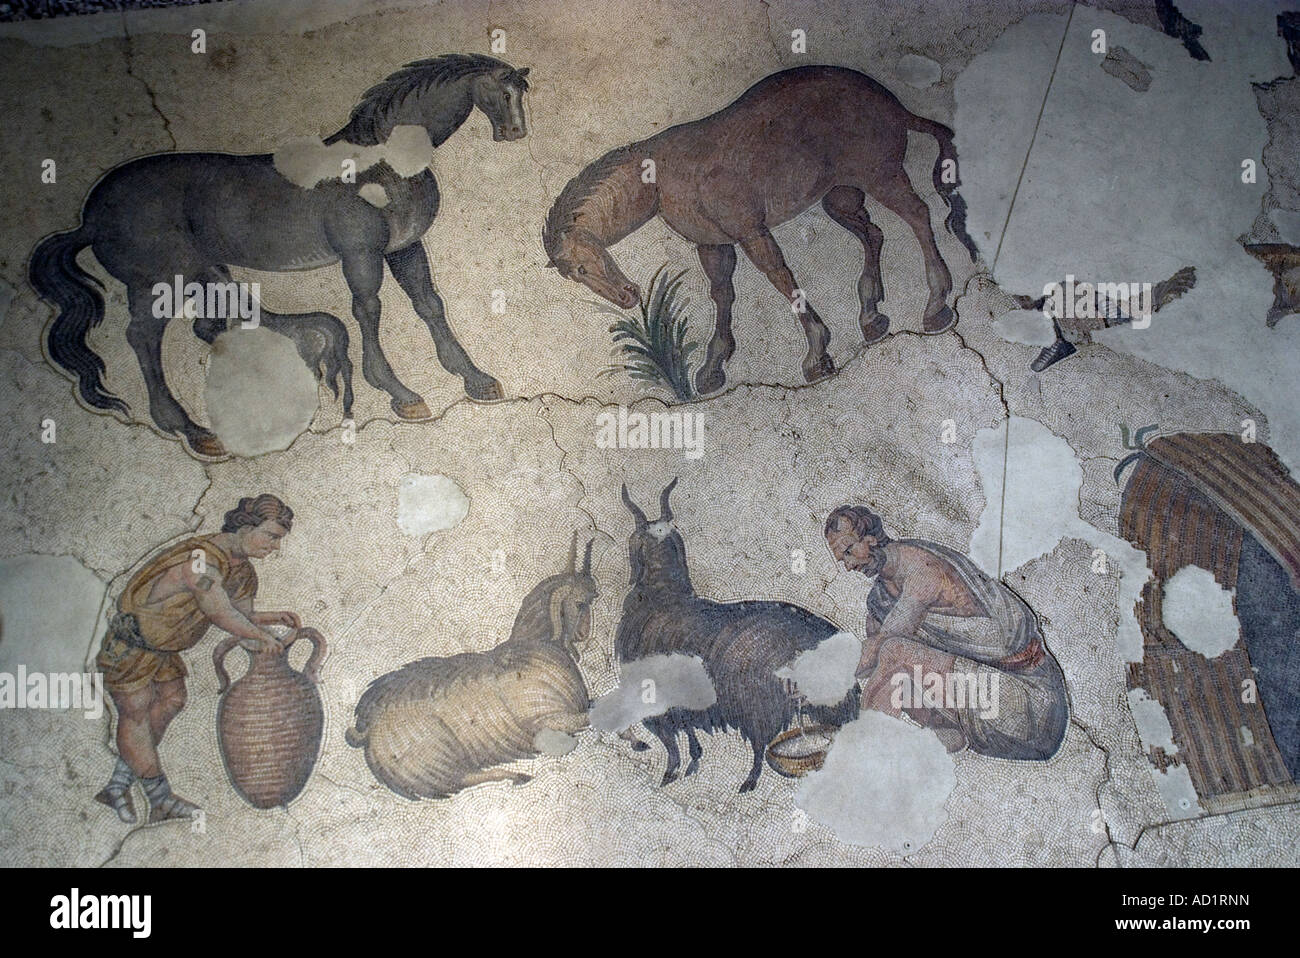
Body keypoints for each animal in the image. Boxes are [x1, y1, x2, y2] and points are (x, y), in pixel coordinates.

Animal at [30, 52, 527, 454]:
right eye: (504, 92)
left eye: (522, 93)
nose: (515, 132)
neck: (381, 164)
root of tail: (90, 219)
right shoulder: (361, 254)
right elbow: (368, 309)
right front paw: (400, 394)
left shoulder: (403, 248)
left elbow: (428, 303)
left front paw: (476, 379)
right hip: (158, 281)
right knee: (144, 339)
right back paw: (195, 431)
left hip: (201, 272)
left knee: (208, 326)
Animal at [538, 65, 977, 392]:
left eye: (582, 266)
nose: (627, 297)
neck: (661, 176)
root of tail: (894, 105)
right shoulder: (714, 245)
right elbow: (722, 294)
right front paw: (713, 369)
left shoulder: (751, 233)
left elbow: (780, 278)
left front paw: (817, 355)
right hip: (841, 197)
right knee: (874, 233)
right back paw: (871, 319)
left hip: (882, 177)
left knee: (918, 215)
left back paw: (936, 306)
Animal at [613, 478, 857, 790]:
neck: (663, 594)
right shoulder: (682, 706)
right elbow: (688, 735)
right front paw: (692, 763)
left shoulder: (657, 703)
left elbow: (671, 744)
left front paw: (669, 774)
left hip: (756, 705)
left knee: (759, 746)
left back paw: (748, 783)